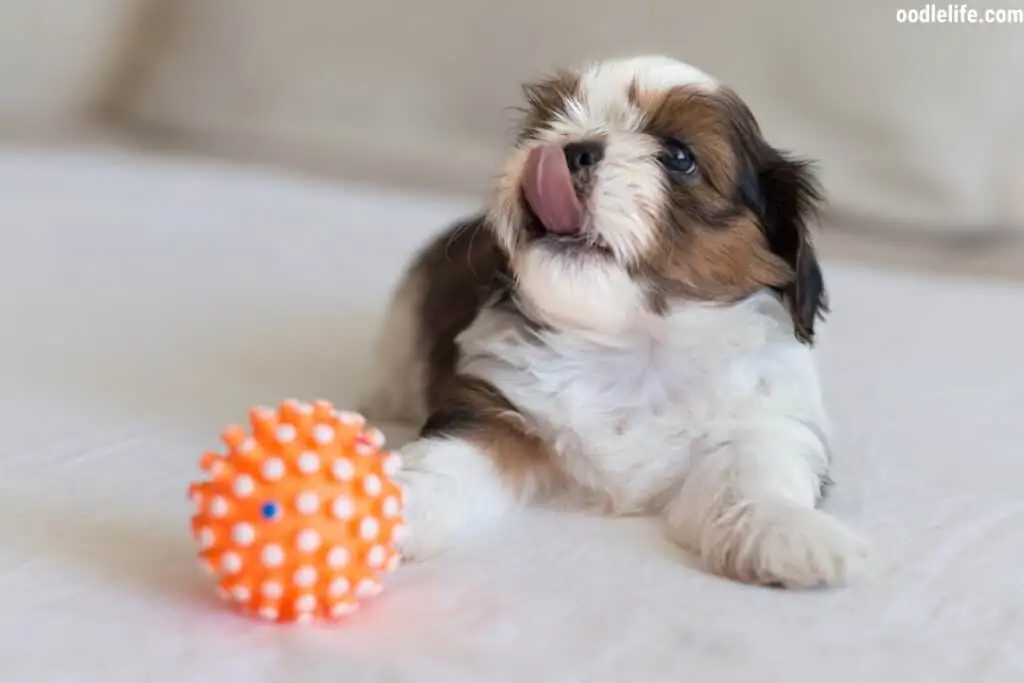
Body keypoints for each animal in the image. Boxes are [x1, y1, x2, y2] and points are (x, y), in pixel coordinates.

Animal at [364, 54, 868, 589]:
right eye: (550, 120)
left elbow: (756, 468)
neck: (633, 346)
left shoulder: (762, 418)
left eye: (680, 157)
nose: (573, 148)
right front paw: (377, 501)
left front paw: (790, 531)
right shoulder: (496, 406)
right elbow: (446, 457)